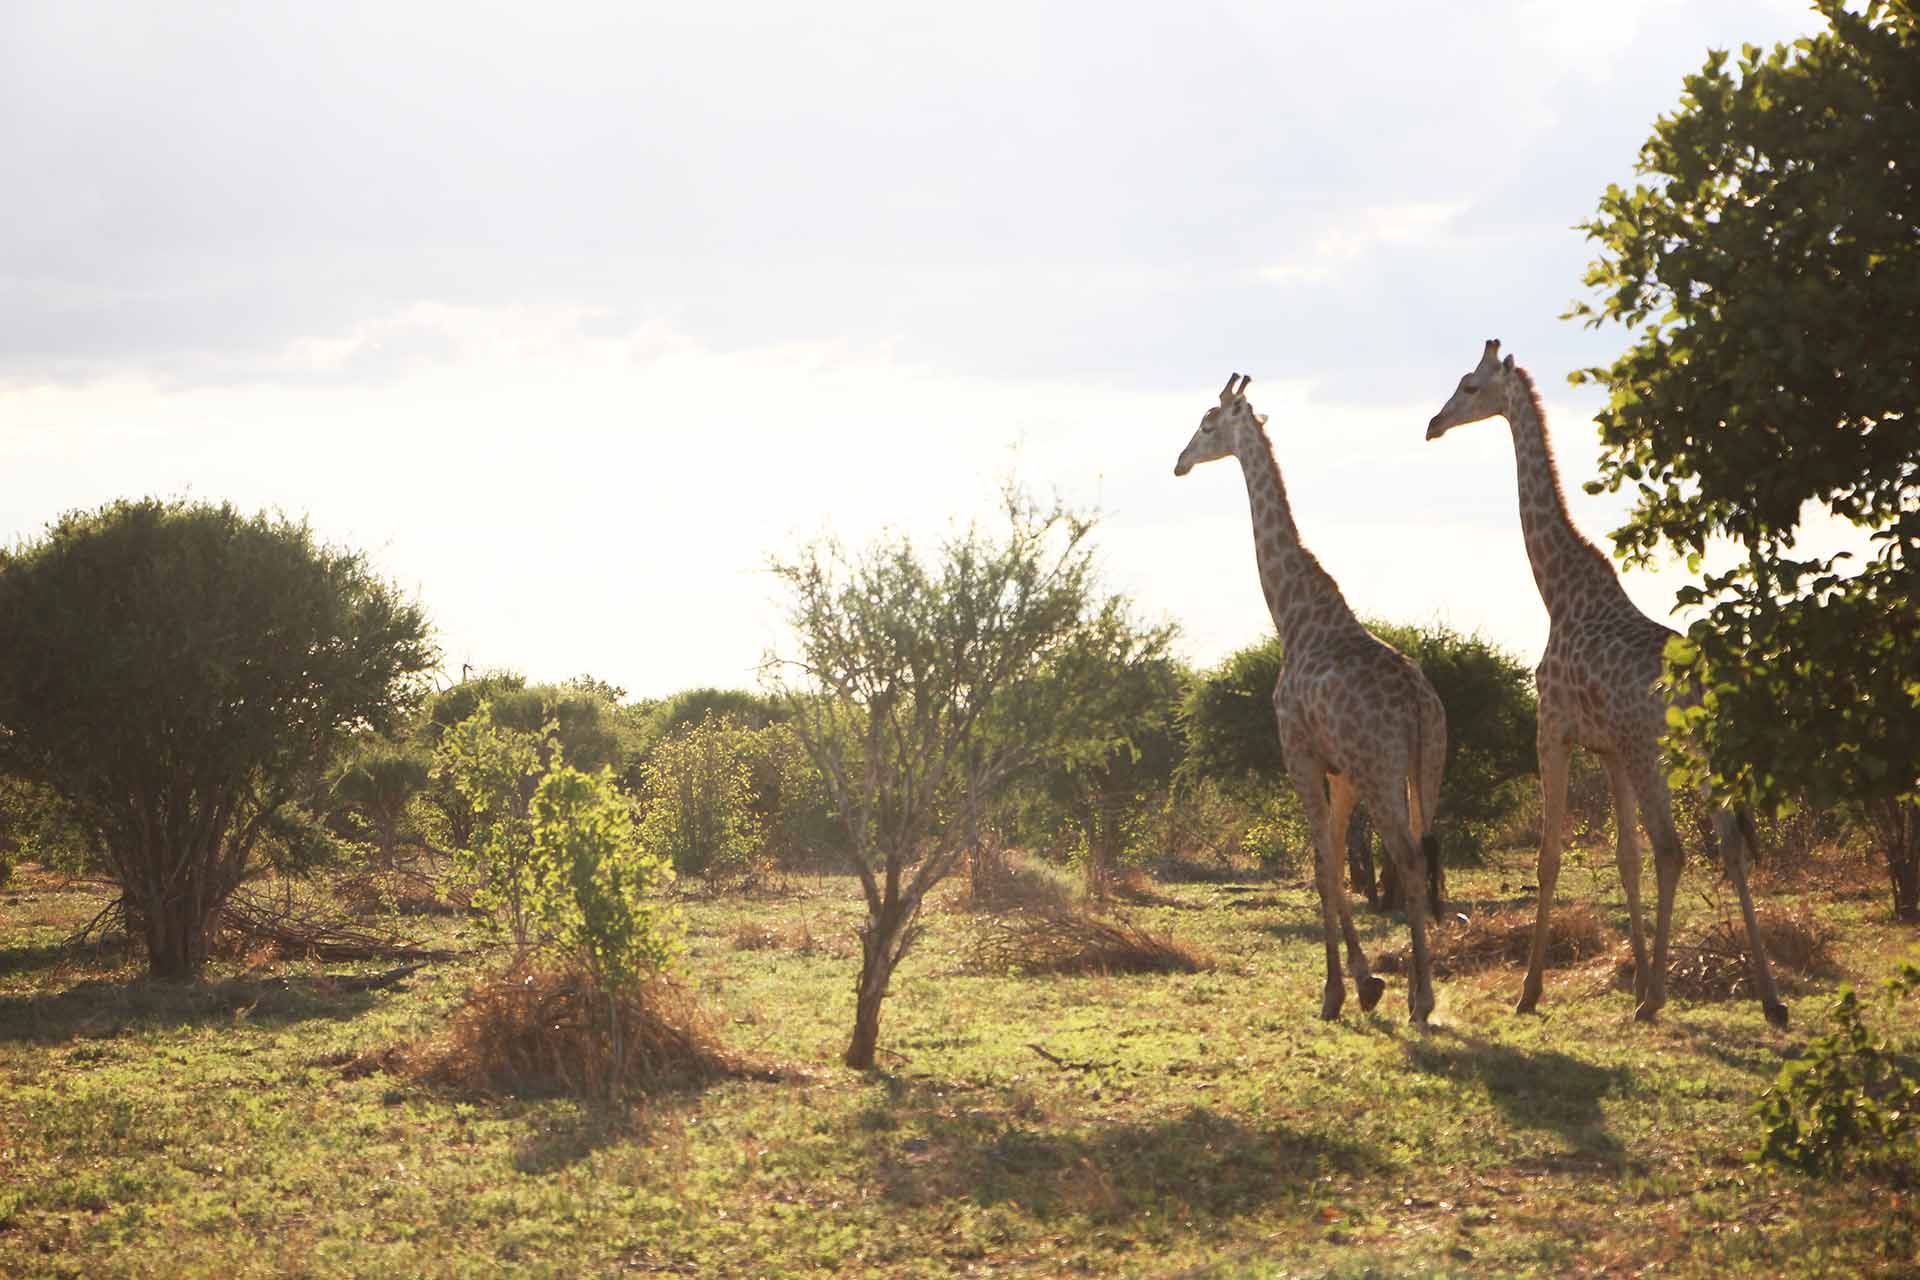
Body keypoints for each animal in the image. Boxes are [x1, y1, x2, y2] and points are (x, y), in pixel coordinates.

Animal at [1175, 372, 1443, 1028]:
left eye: (1208, 423)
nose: (1180, 461)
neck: (1293, 616)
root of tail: (1417, 702)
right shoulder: (1340, 769)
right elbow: (1338, 864)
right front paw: (1367, 982)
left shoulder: (1297, 752)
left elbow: (1322, 866)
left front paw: (1338, 991)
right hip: (1427, 764)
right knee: (1424, 853)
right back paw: (1418, 991)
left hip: (1381, 769)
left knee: (1407, 856)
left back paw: (1423, 1000)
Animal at [1428, 339, 1781, 1028]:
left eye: (1468, 386)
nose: (1433, 424)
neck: (1558, 592)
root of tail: (1698, 689)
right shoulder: (1610, 751)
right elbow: (1625, 859)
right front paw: (1638, 972)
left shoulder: (1554, 731)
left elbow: (1550, 857)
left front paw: (1530, 990)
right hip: (1704, 753)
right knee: (1728, 844)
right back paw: (1769, 999)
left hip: (1655, 751)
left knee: (1676, 848)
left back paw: (1657, 1002)